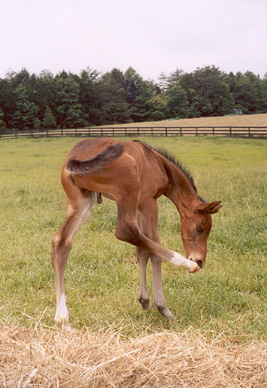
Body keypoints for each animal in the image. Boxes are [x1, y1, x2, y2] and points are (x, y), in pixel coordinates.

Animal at [51, 138, 222, 328]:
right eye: (199, 227)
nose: (199, 261)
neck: (158, 162)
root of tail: (75, 157)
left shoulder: (139, 204)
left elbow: (142, 251)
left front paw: (145, 301)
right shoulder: (149, 201)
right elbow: (153, 249)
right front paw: (162, 308)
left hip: (83, 201)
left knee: (61, 242)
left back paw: (63, 320)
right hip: (127, 187)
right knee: (125, 231)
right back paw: (186, 266)